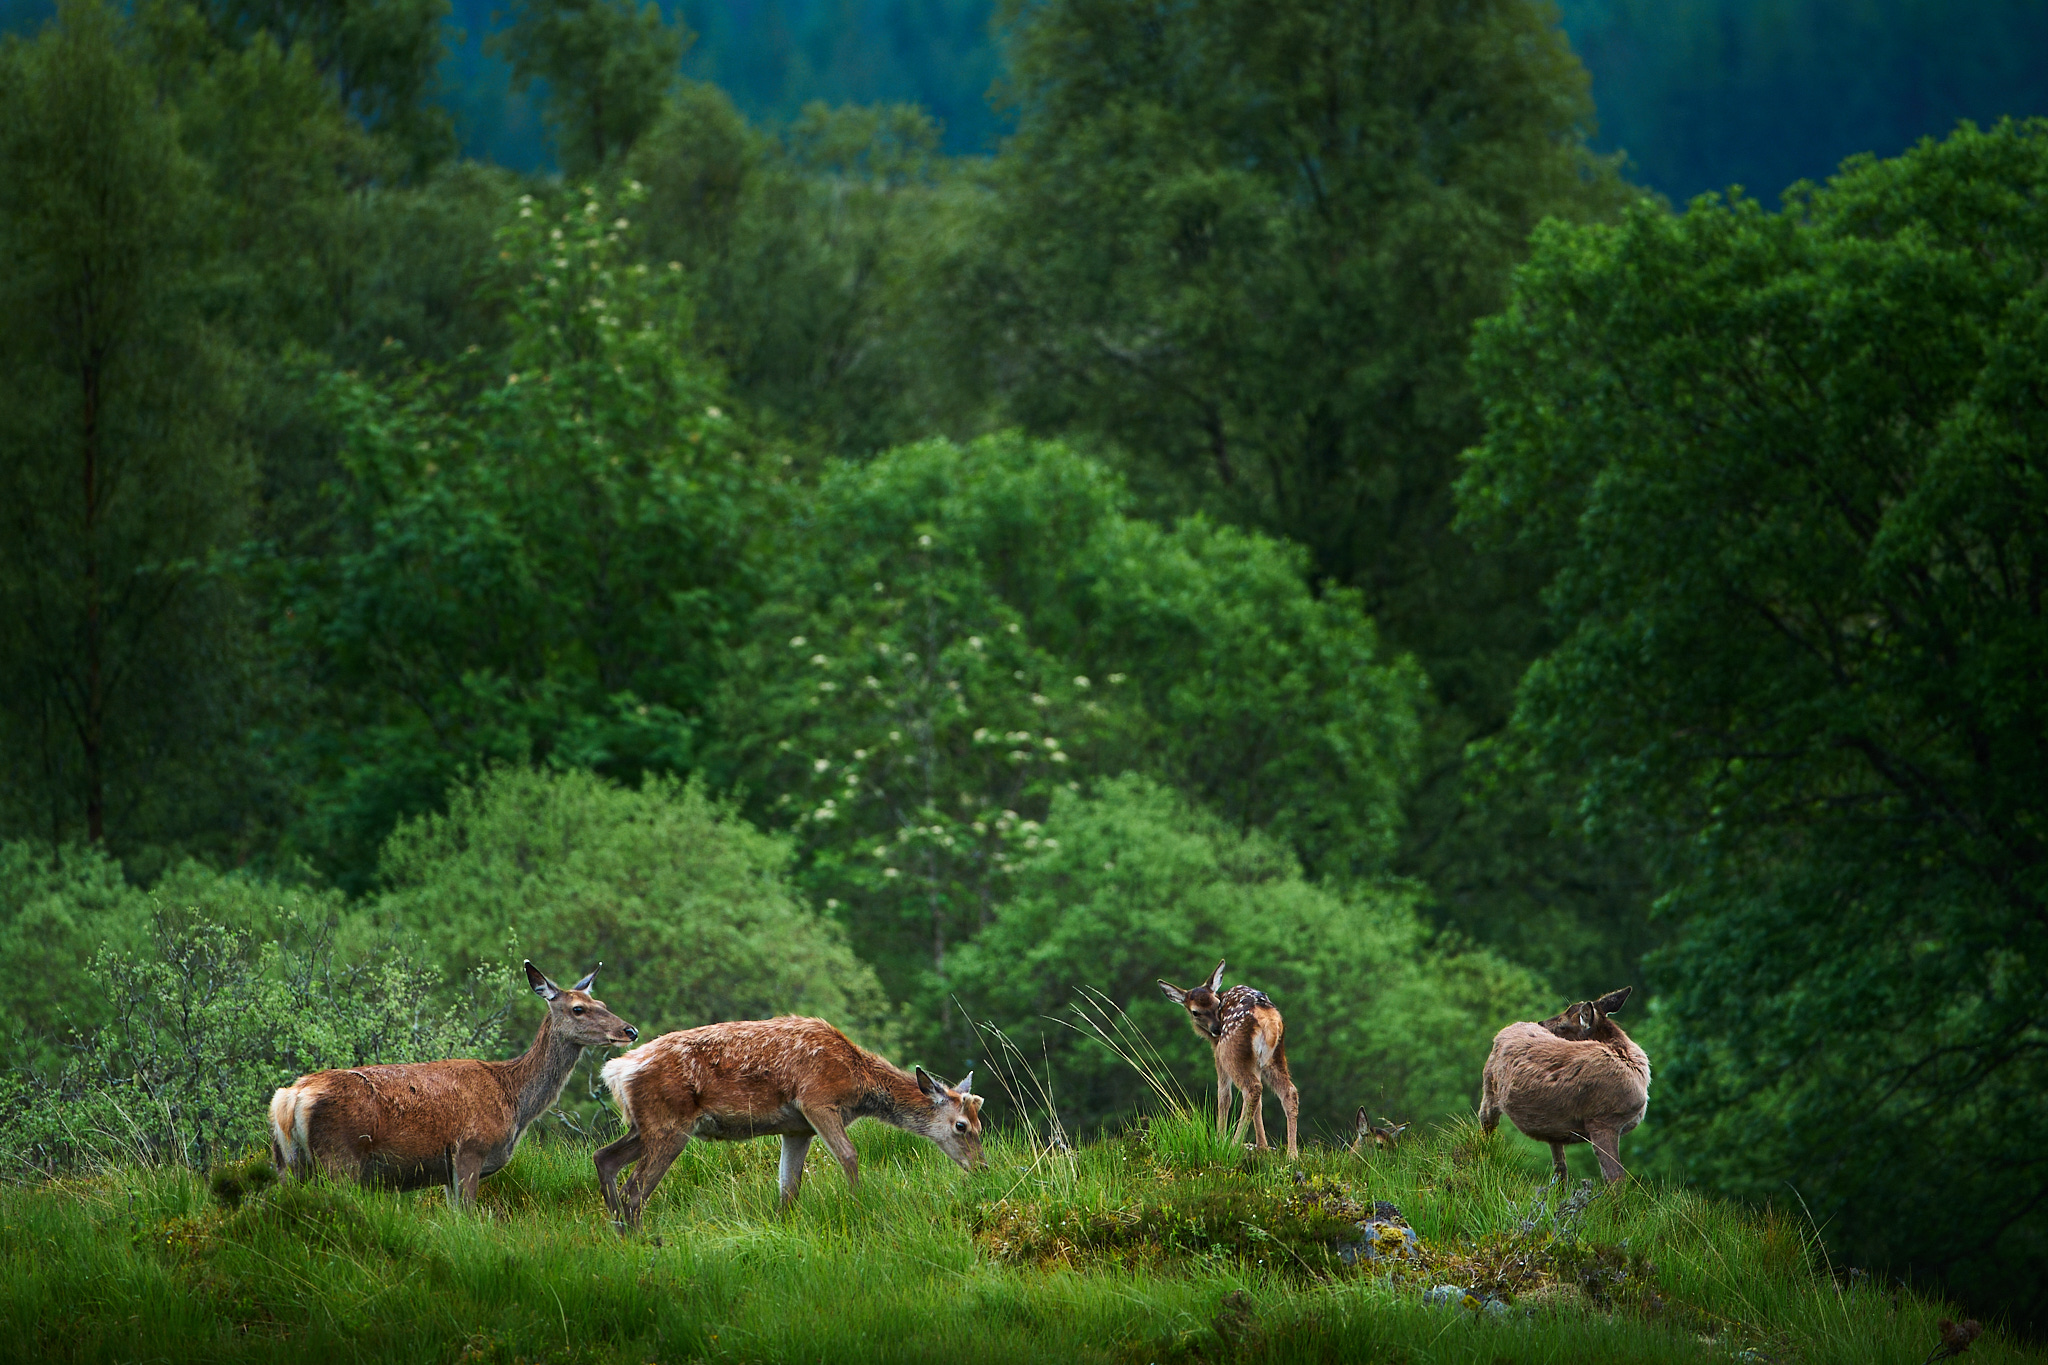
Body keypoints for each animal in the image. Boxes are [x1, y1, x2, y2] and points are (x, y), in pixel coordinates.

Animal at [268, 962, 637, 1207]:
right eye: (578, 1009)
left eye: (602, 1004)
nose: (629, 1030)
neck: (514, 1100)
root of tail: (291, 1097)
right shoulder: (469, 1149)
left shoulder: (445, 1171)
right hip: (339, 1157)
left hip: (286, 1160)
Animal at [593, 1016, 983, 1229]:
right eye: (961, 1125)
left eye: (982, 1124)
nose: (982, 1167)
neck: (858, 1084)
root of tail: (616, 1071)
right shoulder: (816, 1100)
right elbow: (849, 1155)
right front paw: (858, 1205)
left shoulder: (797, 1129)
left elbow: (788, 1188)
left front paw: (784, 1226)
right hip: (669, 1124)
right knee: (634, 1190)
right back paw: (637, 1239)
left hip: (646, 1125)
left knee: (604, 1158)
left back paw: (619, 1236)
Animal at [1158, 959, 1300, 1159]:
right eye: (1195, 1012)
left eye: (1217, 1004)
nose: (1217, 1028)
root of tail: (1267, 1018)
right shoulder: (1253, 1061)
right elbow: (1260, 1105)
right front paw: (1262, 1147)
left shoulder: (1218, 1054)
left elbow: (1224, 1097)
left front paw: (1219, 1140)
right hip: (1274, 1055)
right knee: (1288, 1091)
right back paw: (1292, 1154)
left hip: (1229, 1051)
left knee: (1252, 1088)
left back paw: (1233, 1144)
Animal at [1478, 986, 1649, 1183]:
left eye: (1563, 1026)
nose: (1541, 1023)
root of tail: (1504, 1030)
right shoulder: (1602, 1120)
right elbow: (1615, 1177)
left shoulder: (1604, 1122)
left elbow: (1613, 1177)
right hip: (1489, 1088)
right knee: (1485, 1123)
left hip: (1550, 1124)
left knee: (1560, 1167)